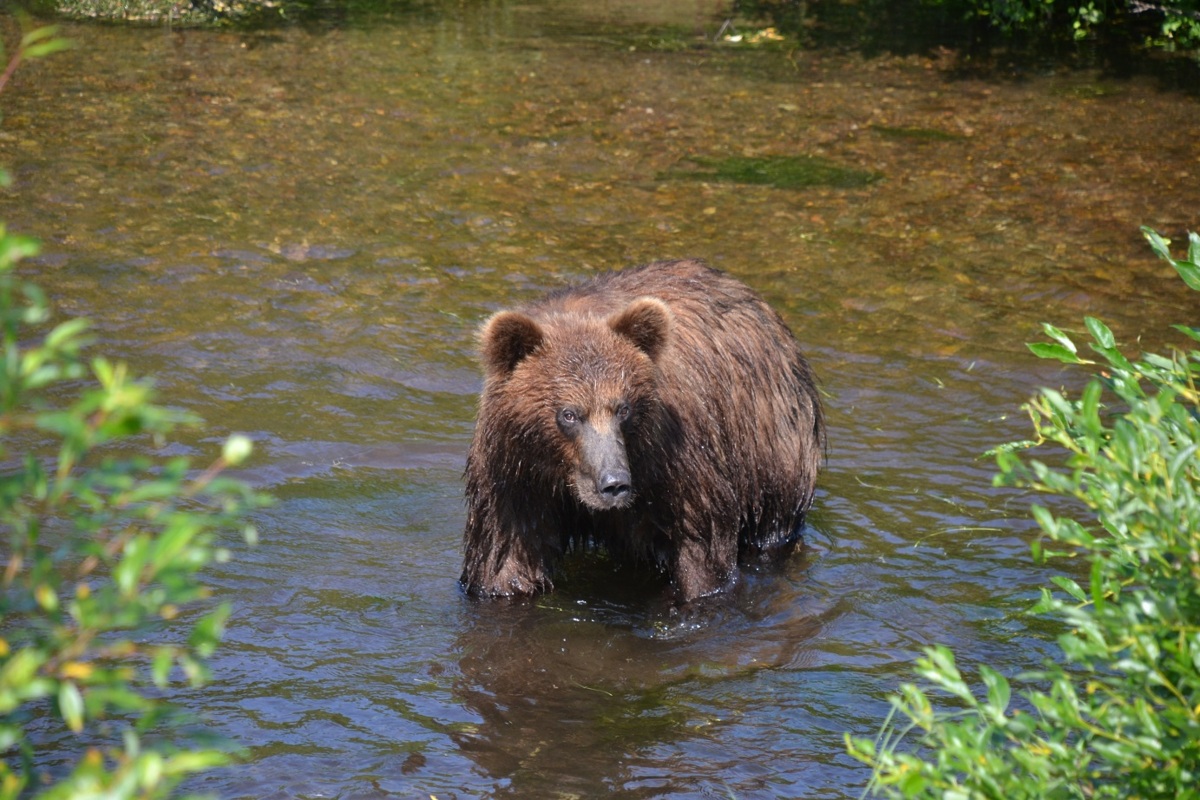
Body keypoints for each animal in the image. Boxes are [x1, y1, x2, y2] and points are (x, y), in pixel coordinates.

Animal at [458, 256, 825, 599]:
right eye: (569, 414)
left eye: (624, 408)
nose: (614, 483)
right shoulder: (513, 476)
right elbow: (505, 561)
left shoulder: (677, 462)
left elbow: (701, 554)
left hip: (769, 446)